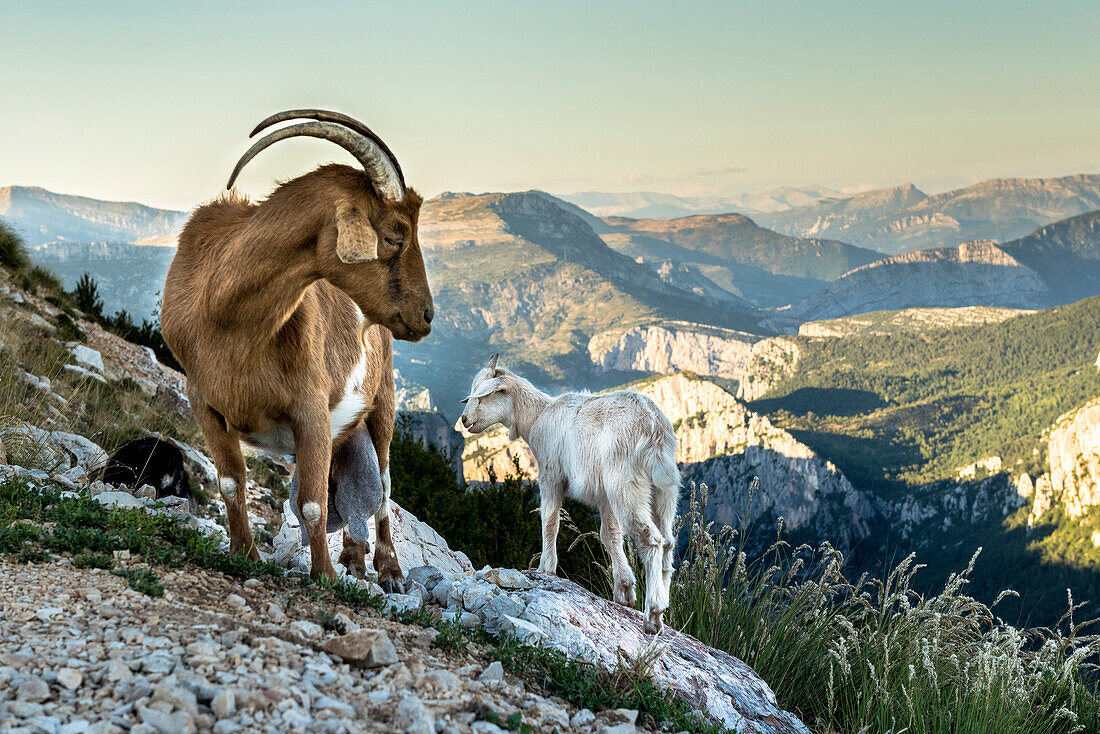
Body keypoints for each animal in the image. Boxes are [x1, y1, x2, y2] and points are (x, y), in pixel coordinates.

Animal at [160, 110, 433, 589]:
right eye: (394, 236)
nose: (426, 315)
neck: (227, 314)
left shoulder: (311, 408)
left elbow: (312, 503)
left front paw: (323, 575)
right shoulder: (202, 400)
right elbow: (231, 482)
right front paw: (244, 553)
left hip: (383, 401)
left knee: (384, 483)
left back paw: (389, 569)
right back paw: (355, 557)